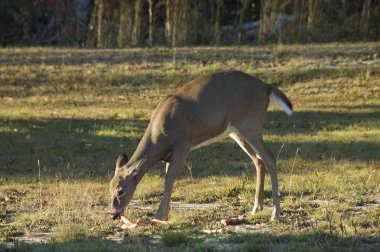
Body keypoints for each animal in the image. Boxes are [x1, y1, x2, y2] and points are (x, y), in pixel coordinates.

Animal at [110, 70, 294, 227]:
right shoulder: (170, 155)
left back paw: (275, 214)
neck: (160, 137)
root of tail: (267, 87)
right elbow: (168, 178)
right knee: (258, 160)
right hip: (236, 131)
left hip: (250, 124)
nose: (114, 213)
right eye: (109, 188)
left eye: (120, 190)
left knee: (269, 157)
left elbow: (169, 179)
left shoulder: (182, 145)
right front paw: (165, 214)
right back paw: (256, 208)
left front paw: (160, 216)